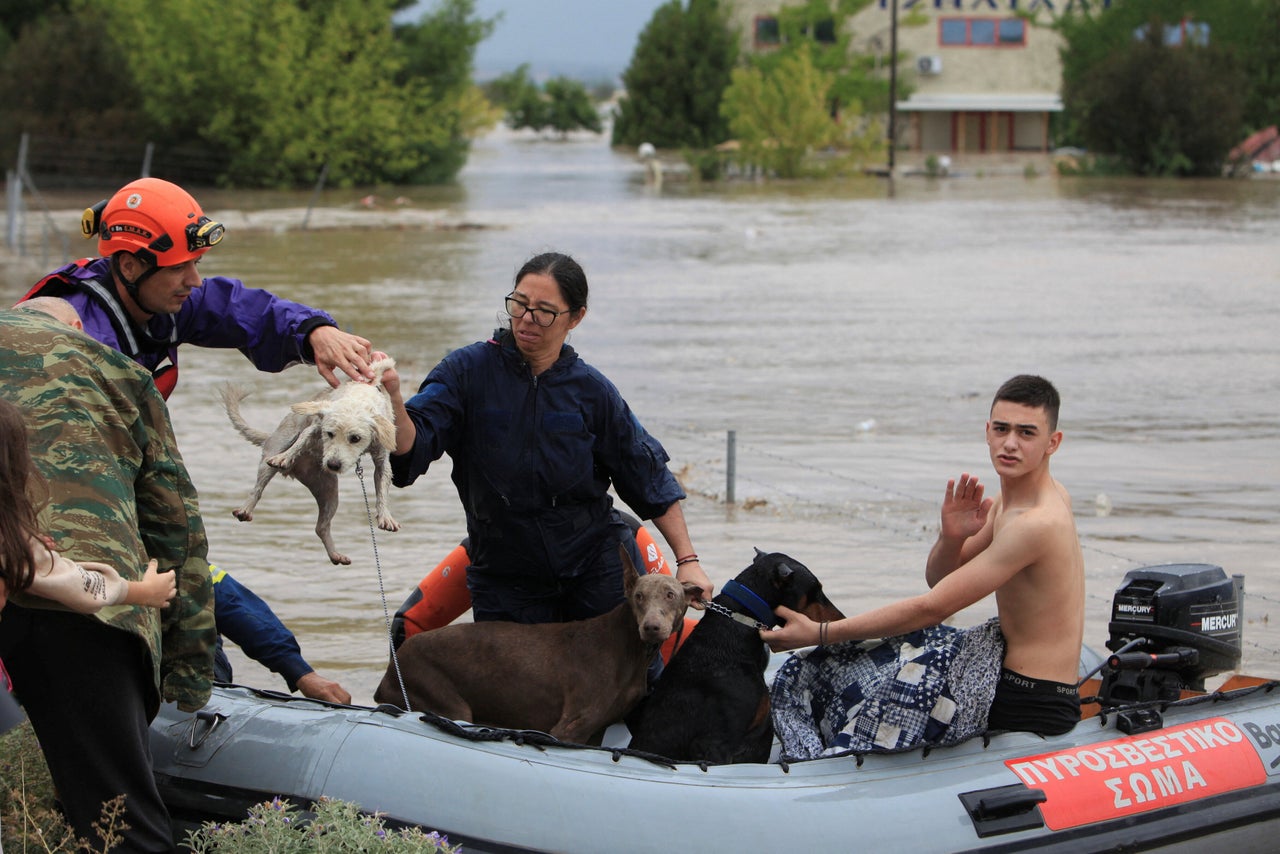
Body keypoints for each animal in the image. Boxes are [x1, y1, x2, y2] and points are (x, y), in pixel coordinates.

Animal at [221, 358, 399, 563]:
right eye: (329, 434)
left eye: (355, 438)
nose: (332, 465)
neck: (358, 396)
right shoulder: (316, 426)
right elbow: (302, 439)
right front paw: (285, 457)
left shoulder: (381, 457)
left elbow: (382, 487)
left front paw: (385, 516)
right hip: (272, 454)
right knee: (257, 489)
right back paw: (245, 509)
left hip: (329, 491)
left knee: (321, 527)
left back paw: (336, 555)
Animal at [378, 550, 701, 742]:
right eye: (638, 596)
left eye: (671, 595)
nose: (651, 627)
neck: (630, 650)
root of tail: (392, 667)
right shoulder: (569, 727)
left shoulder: (597, 730)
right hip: (444, 700)